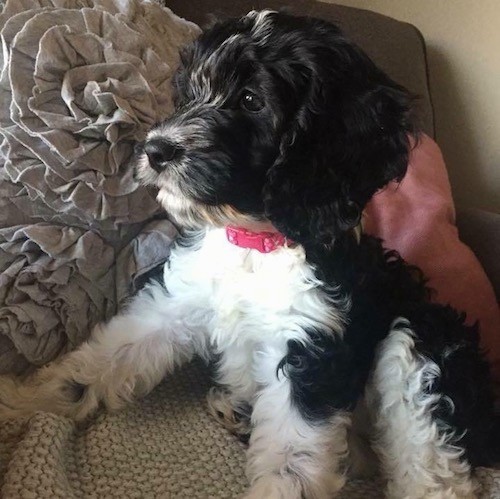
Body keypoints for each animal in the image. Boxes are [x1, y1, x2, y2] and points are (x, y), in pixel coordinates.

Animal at [0, 9, 500, 498]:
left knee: (430, 470)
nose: (155, 150)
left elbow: (290, 461)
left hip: (424, 349)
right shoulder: (173, 304)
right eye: (190, 92)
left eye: (250, 100)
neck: (255, 243)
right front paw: (18, 401)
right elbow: (99, 361)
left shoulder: (310, 348)